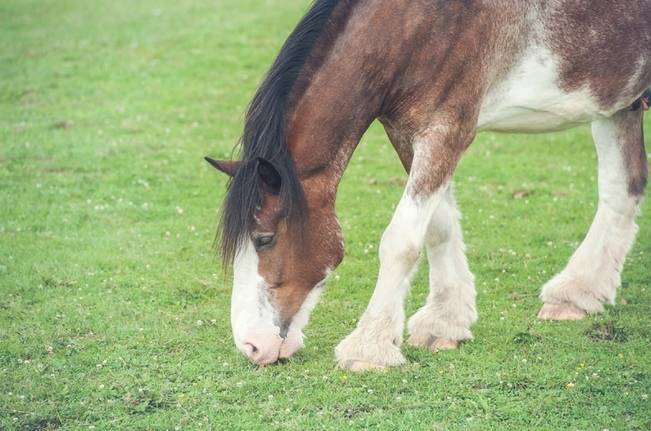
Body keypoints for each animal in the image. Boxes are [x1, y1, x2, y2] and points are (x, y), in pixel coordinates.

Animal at [208, 0, 651, 372]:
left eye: (264, 238)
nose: (251, 346)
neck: (420, 23)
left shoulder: (446, 131)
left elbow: (400, 241)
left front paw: (369, 347)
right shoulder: (408, 133)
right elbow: (438, 226)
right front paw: (445, 321)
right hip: (619, 100)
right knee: (623, 186)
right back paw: (578, 292)